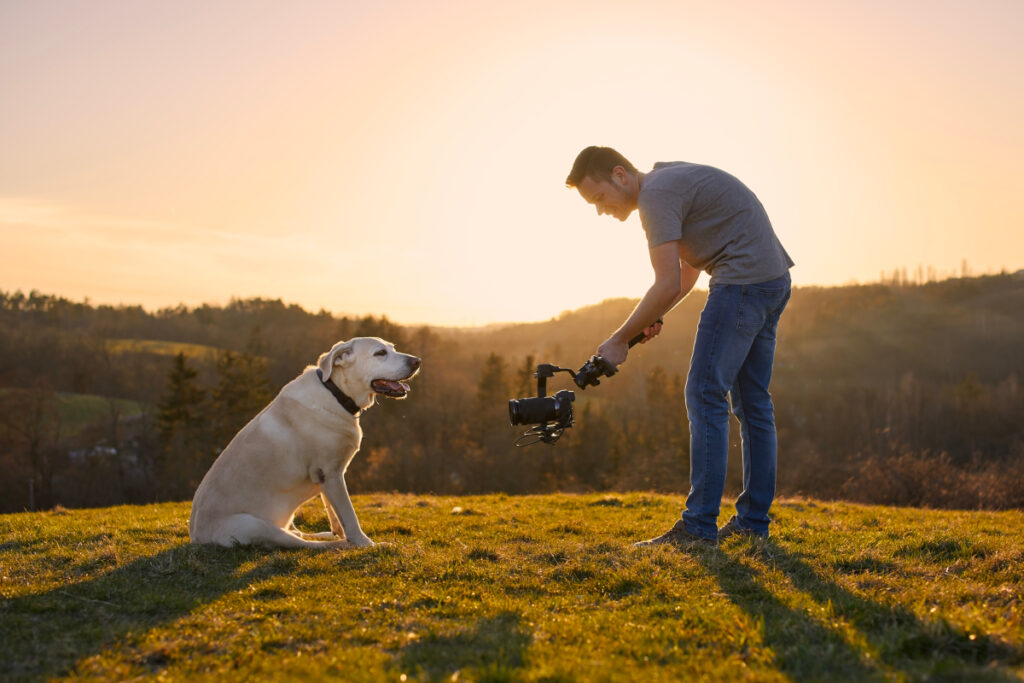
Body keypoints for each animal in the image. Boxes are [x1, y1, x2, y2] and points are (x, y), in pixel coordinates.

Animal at [188, 337, 419, 548]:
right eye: (380, 353)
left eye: (393, 348)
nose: (417, 361)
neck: (335, 393)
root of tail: (195, 535)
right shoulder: (330, 473)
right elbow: (349, 514)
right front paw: (364, 544)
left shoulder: (331, 476)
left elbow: (334, 511)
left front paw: (340, 532)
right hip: (255, 525)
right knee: (303, 544)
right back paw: (342, 545)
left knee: (298, 534)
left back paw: (325, 536)